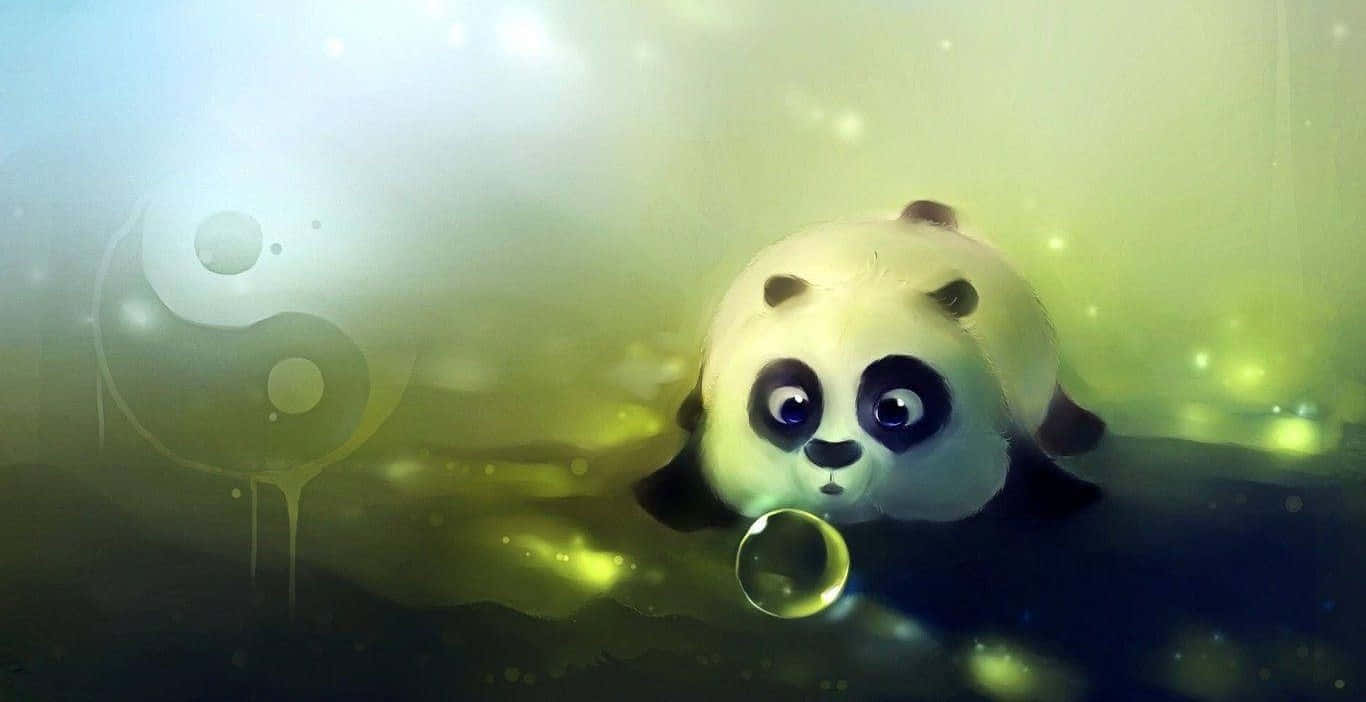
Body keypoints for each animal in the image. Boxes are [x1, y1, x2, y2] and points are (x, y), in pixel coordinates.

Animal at [635, 199, 1106, 531]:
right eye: (791, 407)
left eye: (894, 409)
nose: (832, 452)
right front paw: (663, 502)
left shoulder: (997, 412)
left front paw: (1073, 496)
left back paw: (1082, 433)